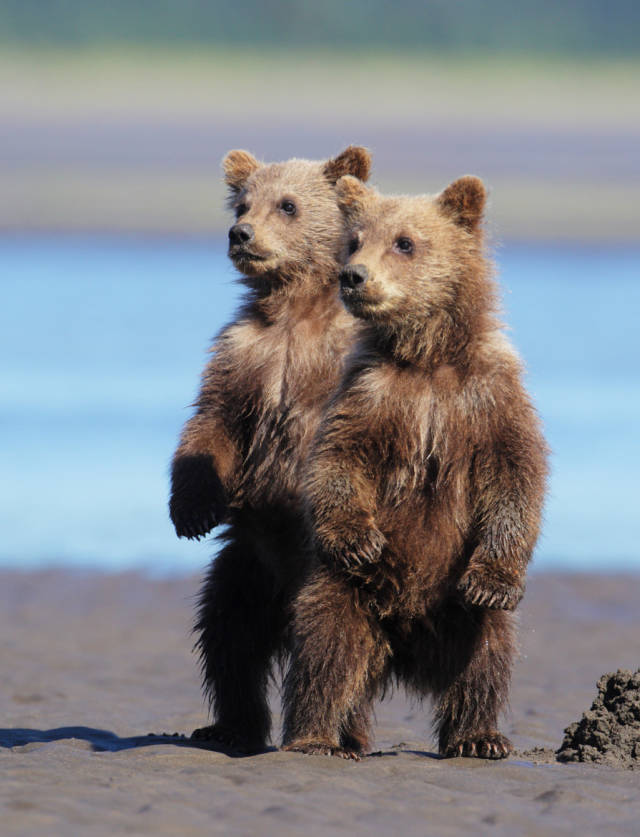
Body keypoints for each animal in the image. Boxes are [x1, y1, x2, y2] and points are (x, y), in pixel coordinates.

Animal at [168, 147, 372, 756]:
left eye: (288, 204)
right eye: (242, 203)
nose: (241, 234)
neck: (293, 308)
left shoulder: (336, 364)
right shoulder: (244, 356)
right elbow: (210, 424)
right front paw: (191, 512)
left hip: (315, 573)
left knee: (335, 641)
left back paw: (341, 736)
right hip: (245, 565)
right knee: (227, 636)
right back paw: (229, 725)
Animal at [284, 173, 552, 760]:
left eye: (405, 242)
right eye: (355, 240)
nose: (353, 275)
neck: (427, 356)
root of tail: (402, 649)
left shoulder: (486, 396)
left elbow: (516, 472)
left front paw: (494, 580)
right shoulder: (372, 393)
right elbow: (337, 458)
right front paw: (361, 538)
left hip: (455, 605)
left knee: (486, 654)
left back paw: (478, 736)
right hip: (348, 590)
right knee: (327, 646)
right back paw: (319, 736)